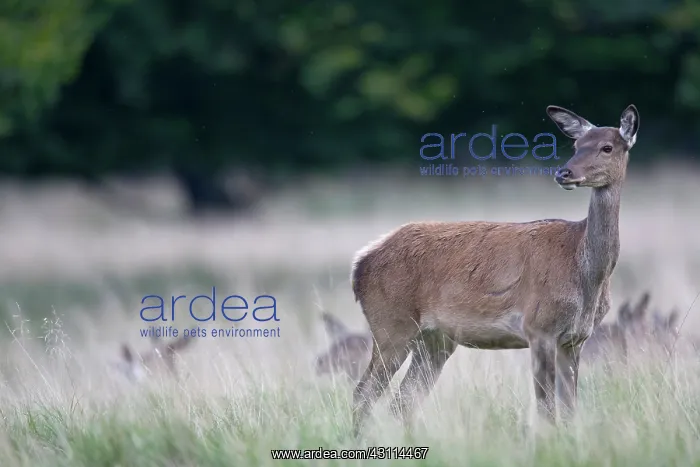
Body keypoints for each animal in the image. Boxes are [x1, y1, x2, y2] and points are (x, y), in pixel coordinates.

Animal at [349, 104, 640, 436]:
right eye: (576, 145)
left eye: (607, 147)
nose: (563, 173)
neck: (586, 275)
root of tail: (360, 263)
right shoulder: (538, 326)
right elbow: (546, 409)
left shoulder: (575, 339)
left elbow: (569, 410)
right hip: (390, 324)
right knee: (364, 393)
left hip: (435, 339)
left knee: (402, 400)